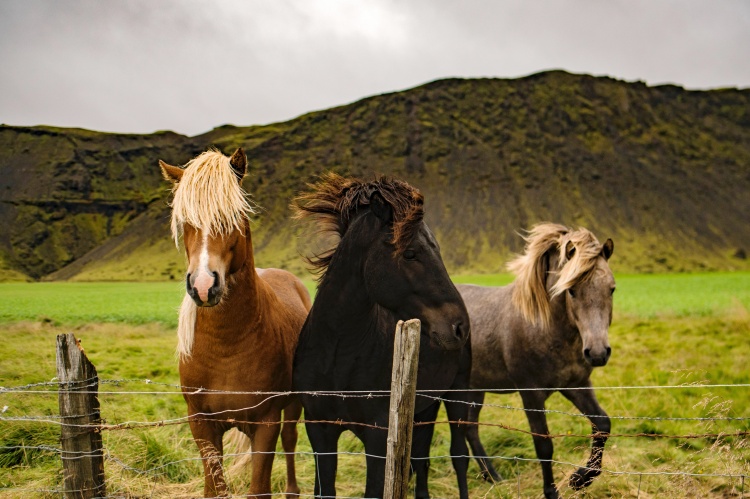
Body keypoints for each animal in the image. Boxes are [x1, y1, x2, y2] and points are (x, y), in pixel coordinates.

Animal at [159, 149, 312, 499]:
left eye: (234, 217)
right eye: (185, 221)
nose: (203, 286)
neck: (226, 346)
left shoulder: (266, 422)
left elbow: (259, 488)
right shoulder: (201, 423)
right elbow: (213, 489)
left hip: (293, 406)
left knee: (291, 441)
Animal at [292, 173, 472, 499]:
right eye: (411, 253)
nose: (458, 326)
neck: (338, 355)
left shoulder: (378, 437)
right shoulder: (319, 430)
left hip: (457, 397)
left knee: (459, 456)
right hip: (425, 407)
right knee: (421, 459)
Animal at [458, 224, 616, 499]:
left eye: (612, 288)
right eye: (571, 290)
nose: (597, 352)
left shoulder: (576, 385)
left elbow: (602, 424)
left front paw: (580, 479)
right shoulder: (531, 394)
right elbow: (543, 445)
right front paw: (552, 491)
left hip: (475, 388)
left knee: (470, 428)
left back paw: (493, 477)